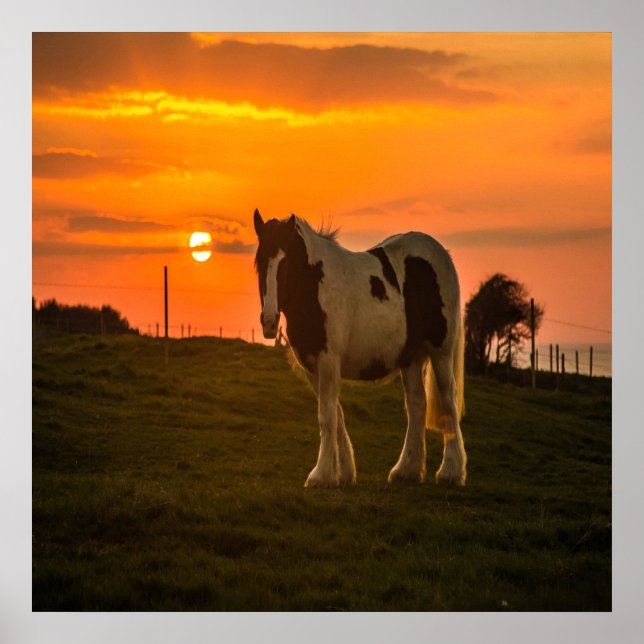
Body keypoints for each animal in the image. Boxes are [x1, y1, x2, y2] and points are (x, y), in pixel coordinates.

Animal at [253, 209, 467, 488]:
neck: (315, 287)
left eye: (286, 262)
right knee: (417, 404)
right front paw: (342, 473)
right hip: (410, 358)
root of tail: (440, 253)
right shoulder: (313, 367)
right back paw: (406, 470)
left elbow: (327, 416)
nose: (269, 321)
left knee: (448, 400)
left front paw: (320, 475)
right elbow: (336, 415)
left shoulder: (328, 362)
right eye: (259, 262)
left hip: (440, 352)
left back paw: (450, 471)